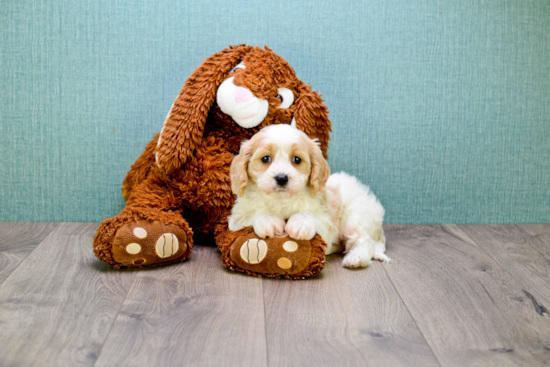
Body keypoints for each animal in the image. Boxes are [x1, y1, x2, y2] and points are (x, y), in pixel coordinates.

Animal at [227, 123, 388, 268]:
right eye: (265, 159)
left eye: (297, 159)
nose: (281, 178)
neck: (281, 200)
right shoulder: (236, 219)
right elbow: (253, 214)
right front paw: (269, 220)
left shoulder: (326, 221)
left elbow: (311, 216)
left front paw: (301, 223)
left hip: (355, 216)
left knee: (364, 241)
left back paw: (356, 258)